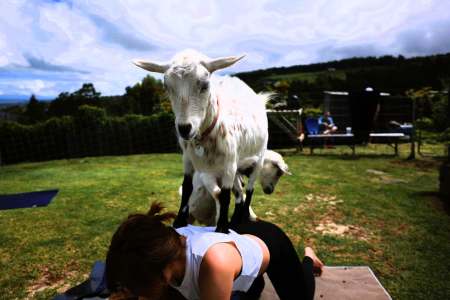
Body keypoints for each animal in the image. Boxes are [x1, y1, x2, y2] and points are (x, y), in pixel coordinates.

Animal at [134, 48, 268, 232]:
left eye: (205, 85)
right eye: (166, 87)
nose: (184, 128)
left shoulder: (229, 164)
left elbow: (225, 196)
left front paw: (222, 228)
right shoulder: (188, 159)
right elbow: (188, 188)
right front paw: (179, 222)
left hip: (257, 159)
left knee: (249, 190)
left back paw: (243, 217)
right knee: (239, 192)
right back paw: (235, 218)